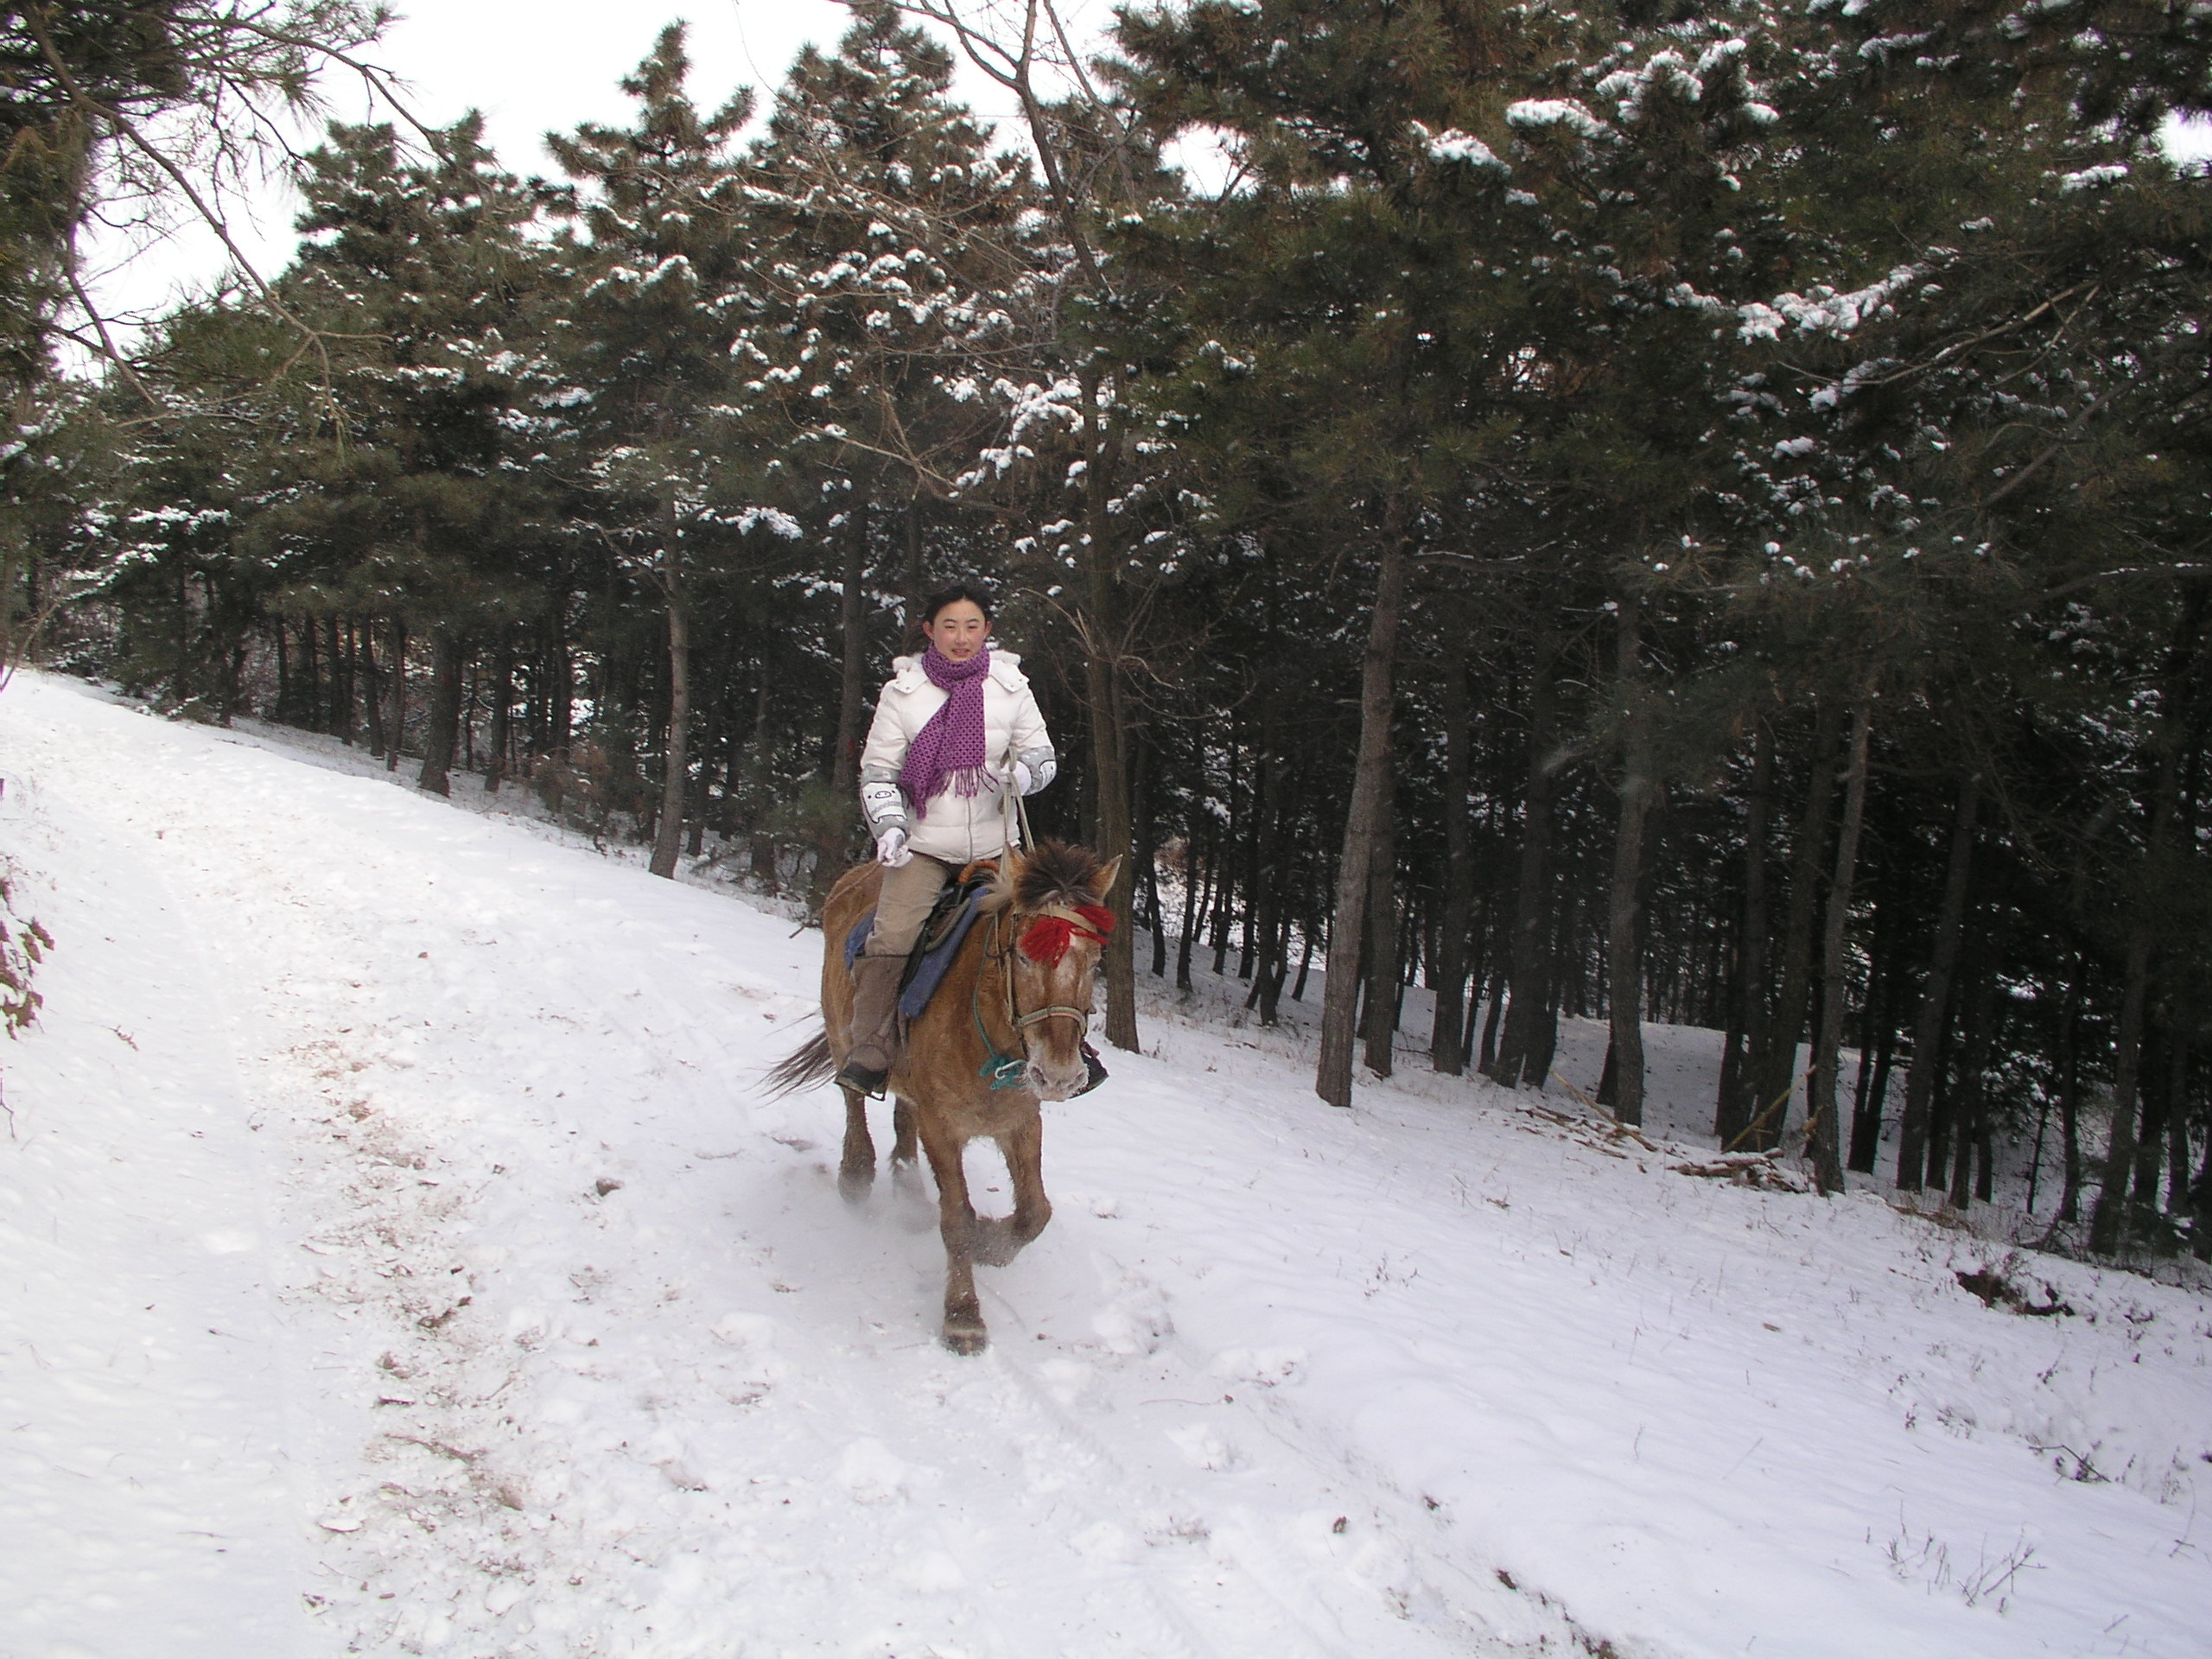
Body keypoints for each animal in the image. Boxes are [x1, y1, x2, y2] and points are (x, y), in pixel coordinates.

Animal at [774, 844, 1123, 1353]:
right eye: (1023, 955)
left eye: (1096, 960)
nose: (1060, 1077)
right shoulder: (944, 1128)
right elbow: (956, 1218)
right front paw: (963, 1315)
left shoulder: (1022, 1123)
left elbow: (1035, 1213)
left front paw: (989, 1244)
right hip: (843, 1034)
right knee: (853, 1102)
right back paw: (856, 1174)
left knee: (903, 1117)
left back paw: (909, 1190)